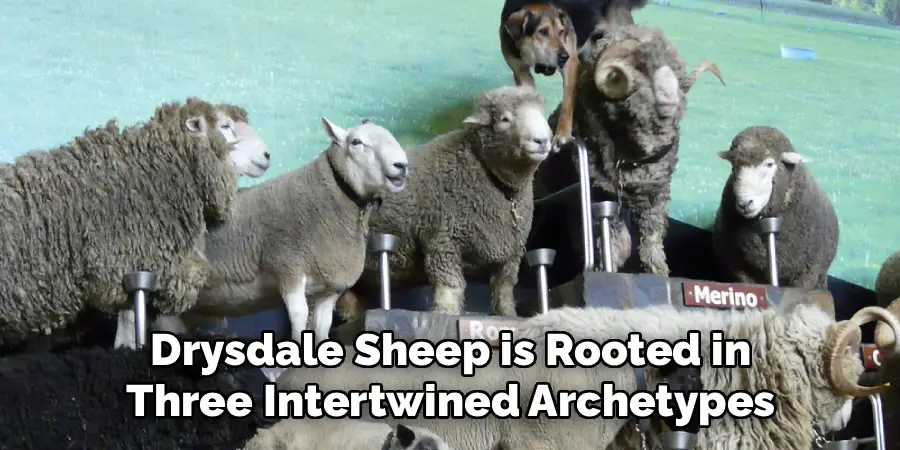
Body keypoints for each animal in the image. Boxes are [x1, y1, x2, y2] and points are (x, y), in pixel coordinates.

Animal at [150, 118, 409, 344]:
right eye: (356, 142)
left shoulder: (329, 287)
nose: (402, 166)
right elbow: (299, 316)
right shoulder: (288, 266)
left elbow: (323, 325)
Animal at [335, 85, 553, 322]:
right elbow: (451, 284)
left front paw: (508, 315)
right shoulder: (443, 239)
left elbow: (504, 290)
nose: (542, 140)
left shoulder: (509, 255)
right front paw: (446, 312)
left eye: (542, 114)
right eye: (505, 119)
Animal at [534, 25, 724, 275]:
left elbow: (652, 245)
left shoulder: (656, 198)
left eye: (676, 73)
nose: (671, 98)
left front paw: (658, 273)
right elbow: (613, 246)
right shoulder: (602, 197)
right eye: (642, 70)